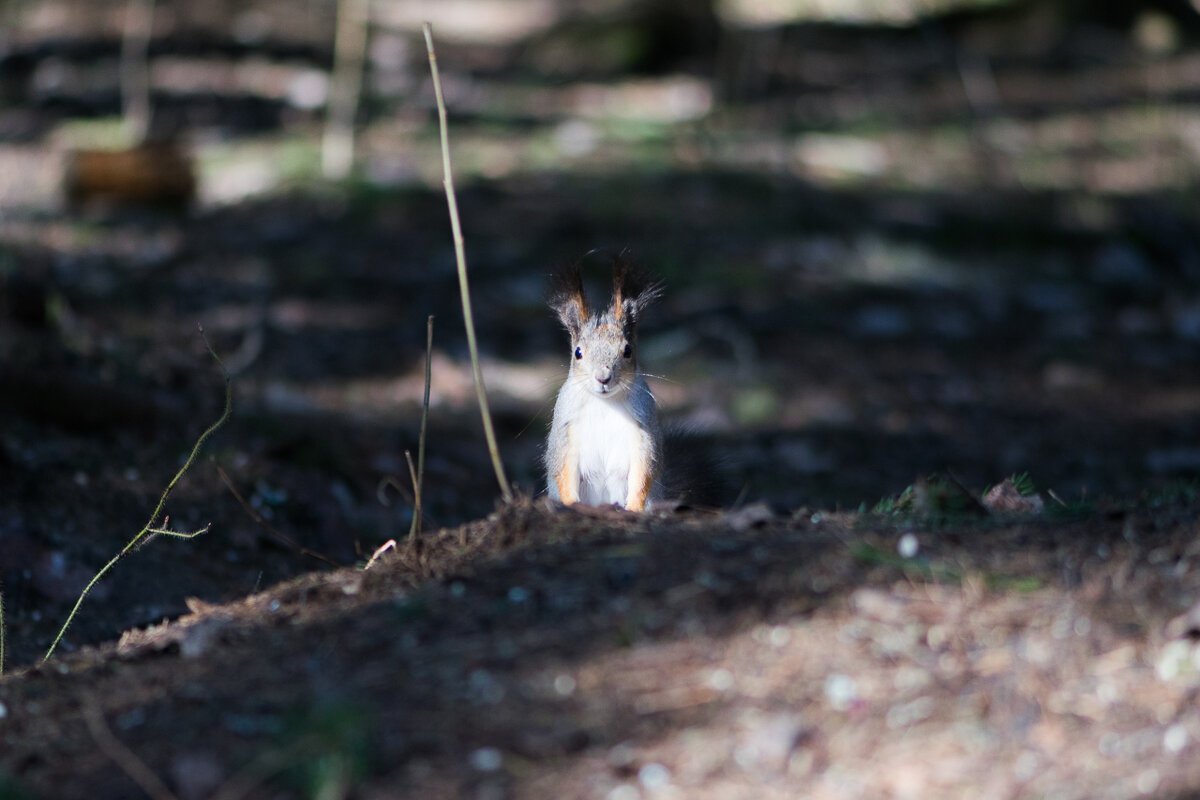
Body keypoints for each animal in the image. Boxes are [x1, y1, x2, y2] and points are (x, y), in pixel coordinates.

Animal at [547, 253, 667, 510]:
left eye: (628, 351)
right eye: (578, 353)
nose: (603, 377)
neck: (604, 403)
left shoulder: (643, 424)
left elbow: (645, 469)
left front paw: (634, 506)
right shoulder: (566, 425)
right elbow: (562, 467)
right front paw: (570, 501)